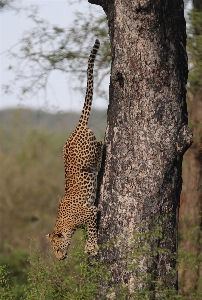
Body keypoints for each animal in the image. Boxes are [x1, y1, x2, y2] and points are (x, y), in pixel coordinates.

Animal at [45, 39, 102, 260]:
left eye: (57, 248)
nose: (59, 259)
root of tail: (75, 130)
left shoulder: (91, 212)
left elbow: (93, 230)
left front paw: (91, 247)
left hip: (88, 154)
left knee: (100, 146)